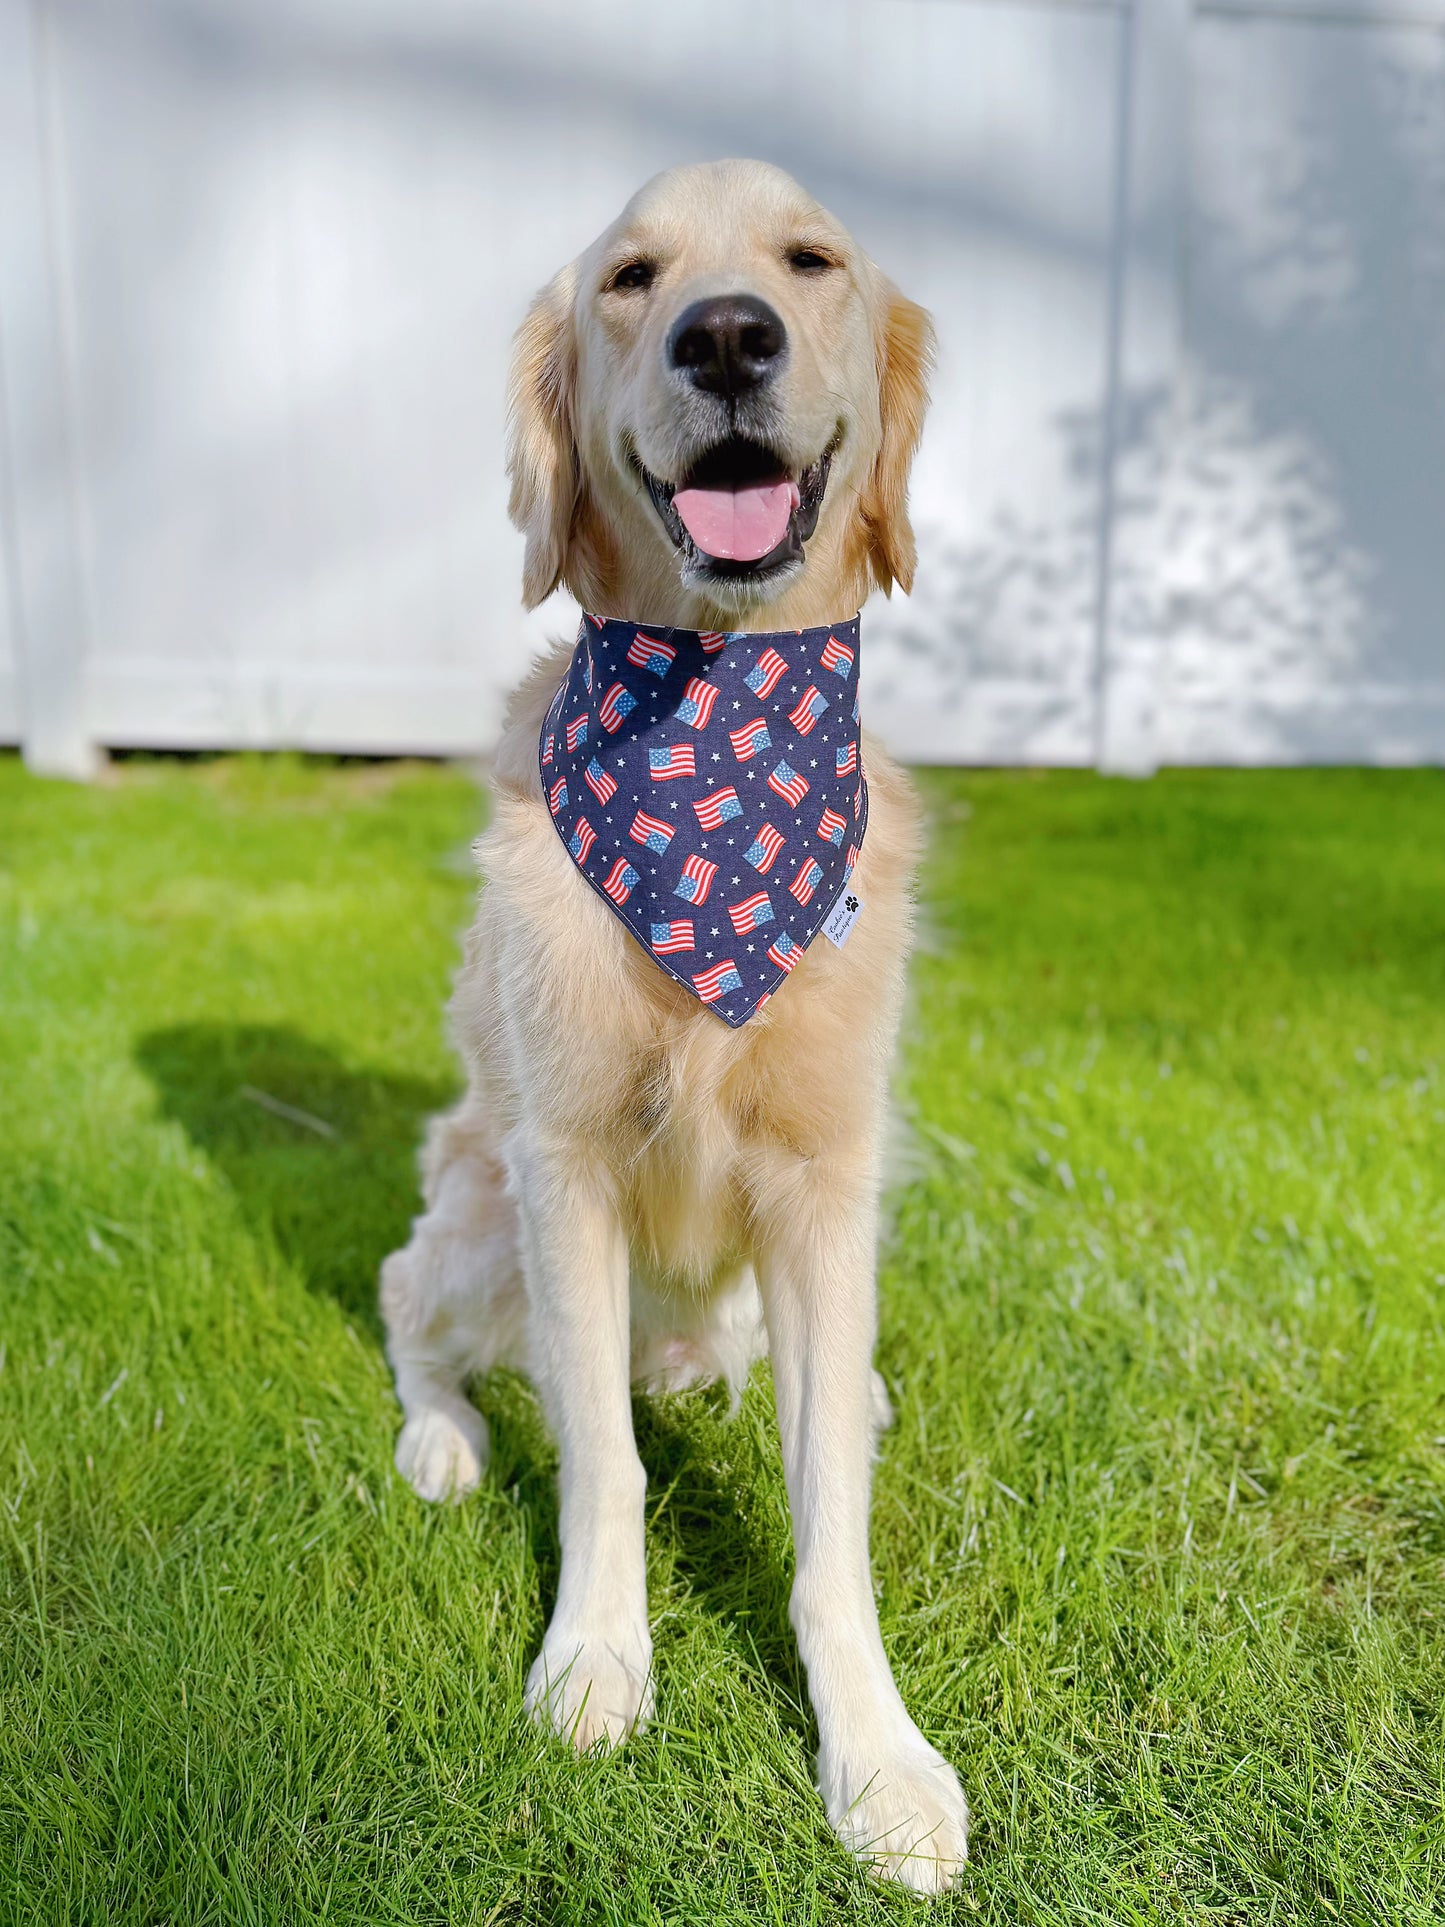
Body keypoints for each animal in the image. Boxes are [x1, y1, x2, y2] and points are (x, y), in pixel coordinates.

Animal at [385, 158, 974, 1888]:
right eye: (631, 279)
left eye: (811, 259)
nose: (727, 335)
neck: (713, 723)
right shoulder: (566, 1168)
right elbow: (602, 1459)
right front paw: (594, 1657)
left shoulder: (827, 1182)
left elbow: (829, 1509)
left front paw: (878, 1756)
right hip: (482, 1211)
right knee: (408, 1307)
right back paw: (442, 1439)